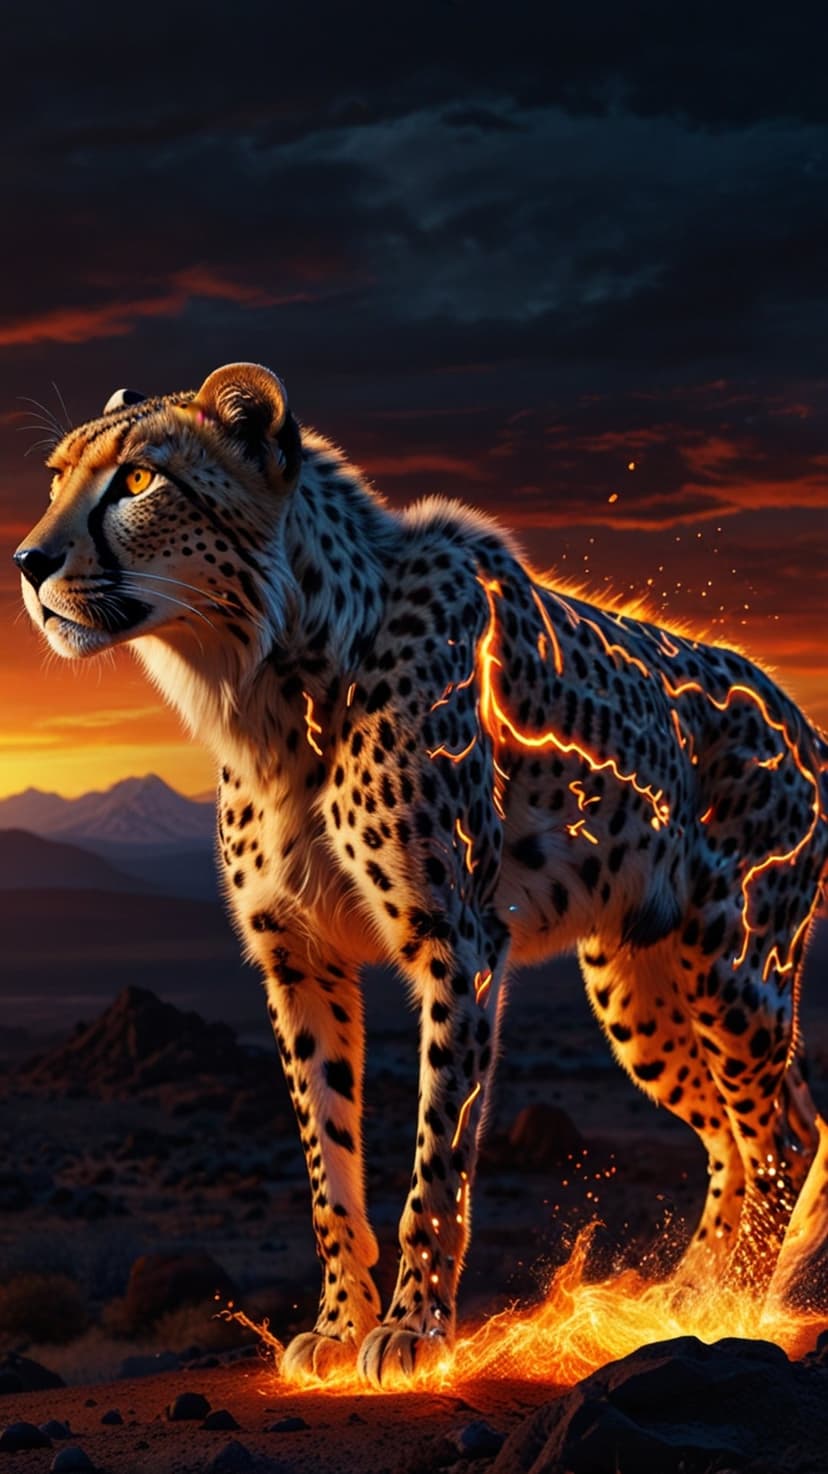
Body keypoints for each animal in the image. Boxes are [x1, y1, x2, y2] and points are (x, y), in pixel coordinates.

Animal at [14, 362, 828, 1387]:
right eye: (54, 477)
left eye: (137, 481)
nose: (27, 562)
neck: (270, 678)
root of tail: (798, 714)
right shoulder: (299, 954)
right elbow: (328, 1158)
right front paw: (336, 1324)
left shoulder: (459, 939)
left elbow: (436, 1159)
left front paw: (415, 1330)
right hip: (636, 986)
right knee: (738, 1131)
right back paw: (689, 1291)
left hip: (734, 964)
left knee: (783, 1132)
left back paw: (733, 1308)